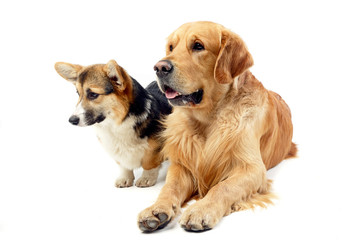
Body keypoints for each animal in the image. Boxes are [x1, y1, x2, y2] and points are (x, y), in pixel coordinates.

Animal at [54, 59, 172, 188]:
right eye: (78, 93)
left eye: (93, 94)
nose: (71, 120)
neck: (117, 123)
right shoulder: (116, 151)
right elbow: (123, 166)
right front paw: (125, 178)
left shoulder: (154, 149)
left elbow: (149, 163)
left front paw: (146, 179)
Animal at [136, 21, 296, 232]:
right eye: (171, 47)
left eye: (198, 46)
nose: (159, 67)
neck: (208, 120)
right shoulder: (183, 164)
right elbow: (169, 187)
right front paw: (157, 209)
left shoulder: (252, 168)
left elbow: (222, 187)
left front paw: (200, 210)